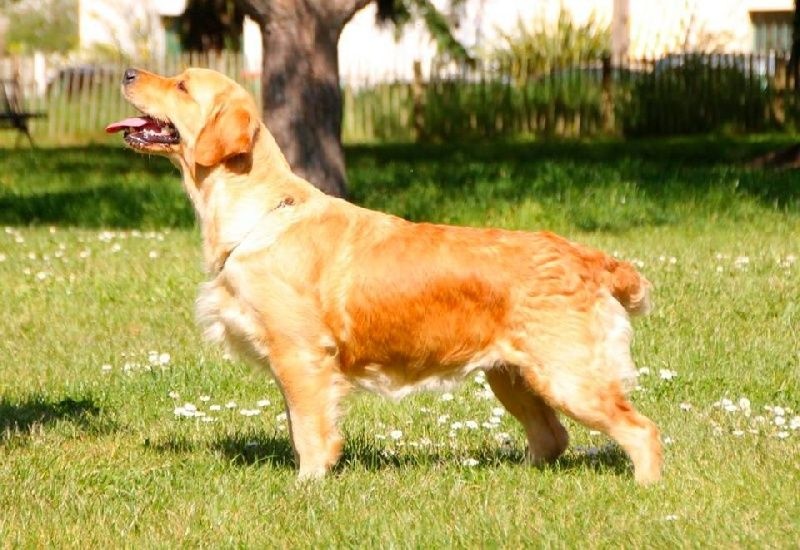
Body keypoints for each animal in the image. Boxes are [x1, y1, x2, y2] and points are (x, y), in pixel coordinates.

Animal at [107, 67, 662, 484]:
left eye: (182, 86)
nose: (128, 72)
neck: (258, 214)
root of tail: (588, 257)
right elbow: (300, 425)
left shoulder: (301, 356)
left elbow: (310, 432)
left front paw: (307, 485)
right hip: (513, 376)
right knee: (552, 438)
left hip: (569, 375)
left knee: (642, 431)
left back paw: (646, 487)